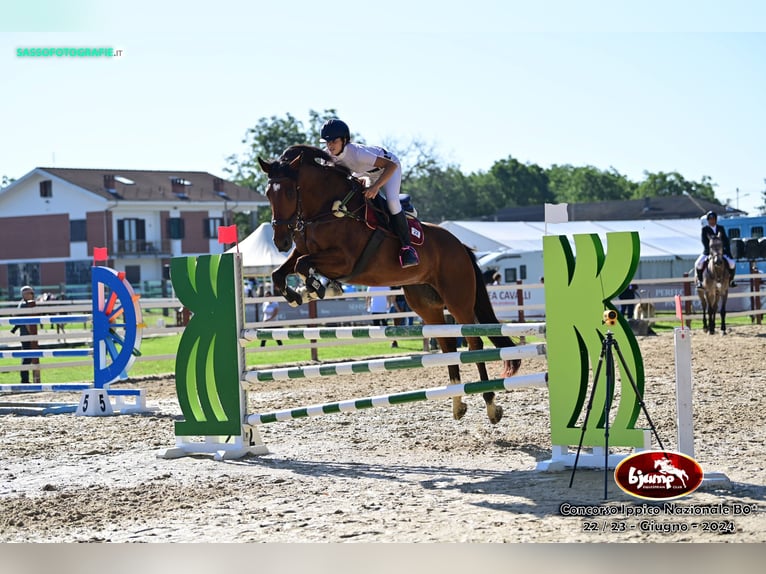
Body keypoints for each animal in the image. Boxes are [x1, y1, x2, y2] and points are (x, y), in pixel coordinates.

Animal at [258, 145, 520, 424]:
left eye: (288, 191)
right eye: (268, 193)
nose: (280, 241)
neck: (327, 210)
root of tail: (460, 245)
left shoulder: (344, 259)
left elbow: (302, 265)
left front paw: (318, 288)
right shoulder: (304, 250)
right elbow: (281, 272)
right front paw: (302, 293)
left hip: (457, 299)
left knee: (474, 344)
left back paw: (491, 405)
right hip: (426, 304)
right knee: (448, 345)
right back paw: (458, 404)